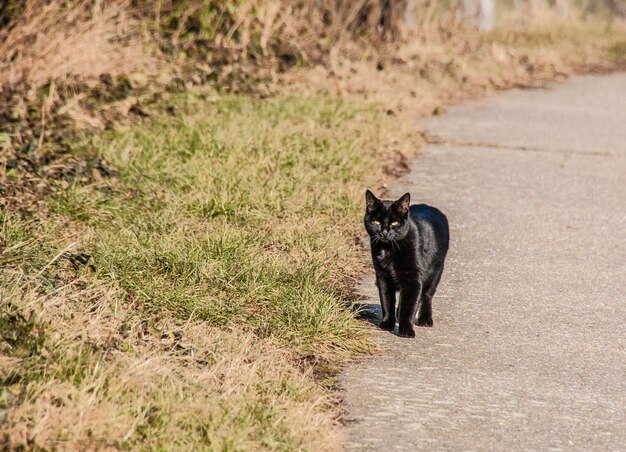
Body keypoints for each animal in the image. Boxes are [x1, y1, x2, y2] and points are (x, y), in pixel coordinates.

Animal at [360, 189, 448, 338]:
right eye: (376, 222)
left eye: (395, 223)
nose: (384, 232)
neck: (389, 249)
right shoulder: (383, 276)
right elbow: (386, 301)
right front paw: (387, 324)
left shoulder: (413, 279)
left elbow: (409, 305)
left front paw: (406, 330)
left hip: (436, 272)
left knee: (426, 295)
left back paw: (425, 319)